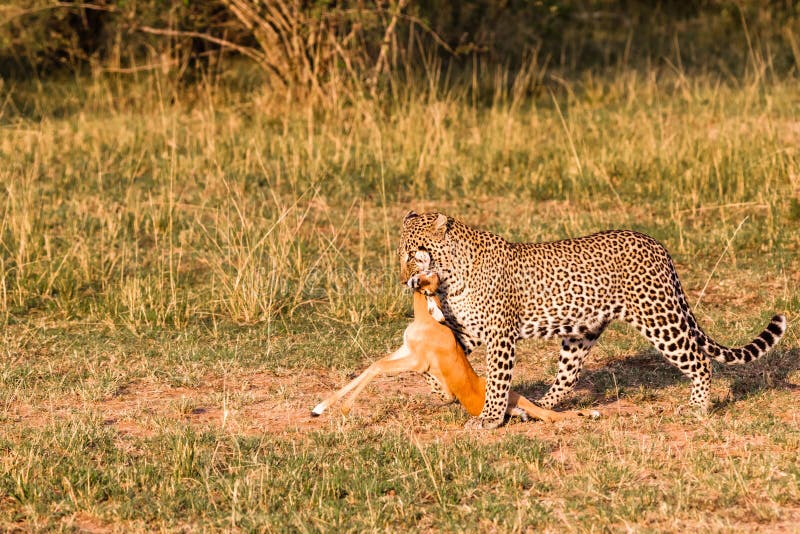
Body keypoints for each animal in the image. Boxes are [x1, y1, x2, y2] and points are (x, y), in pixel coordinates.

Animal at [398, 211, 787, 430]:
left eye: (413, 254)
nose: (404, 280)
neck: (451, 275)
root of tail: (657, 245)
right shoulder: (469, 331)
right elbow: (438, 357)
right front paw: (440, 389)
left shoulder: (499, 335)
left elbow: (497, 380)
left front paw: (490, 418)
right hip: (582, 333)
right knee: (567, 377)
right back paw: (538, 406)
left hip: (659, 317)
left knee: (700, 360)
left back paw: (697, 408)